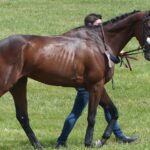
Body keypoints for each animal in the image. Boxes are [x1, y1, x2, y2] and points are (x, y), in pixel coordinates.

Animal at [0, 10, 149, 149]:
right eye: (147, 25)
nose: (148, 53)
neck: (99, 43)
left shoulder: (97, 86)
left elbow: (113, 111)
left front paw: (103, 139)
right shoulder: (95, 86)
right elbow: (92, 116)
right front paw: (89, 142)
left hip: (18, 84)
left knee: (22, 116)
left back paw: (38, 145)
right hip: (6, 84)